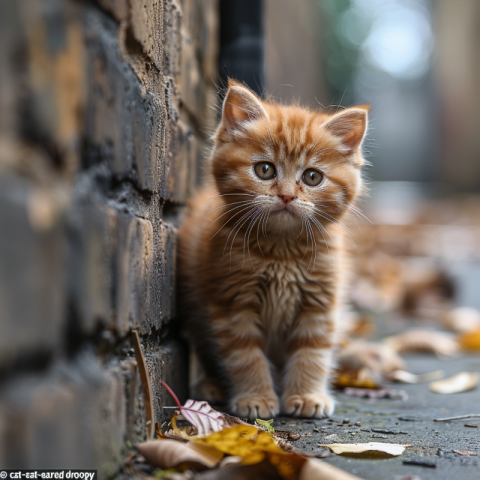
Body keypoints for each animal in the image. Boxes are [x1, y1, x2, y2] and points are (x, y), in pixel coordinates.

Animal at [178, 80, 370, 418]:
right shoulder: (231, 303)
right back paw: (211, 385)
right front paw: (255, 397)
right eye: (265, 170)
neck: (282, 251)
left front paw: (307, 395)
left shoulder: (319, 303)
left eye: (312, 176)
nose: (287, 196)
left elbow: (313, 352)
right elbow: (244, 355)